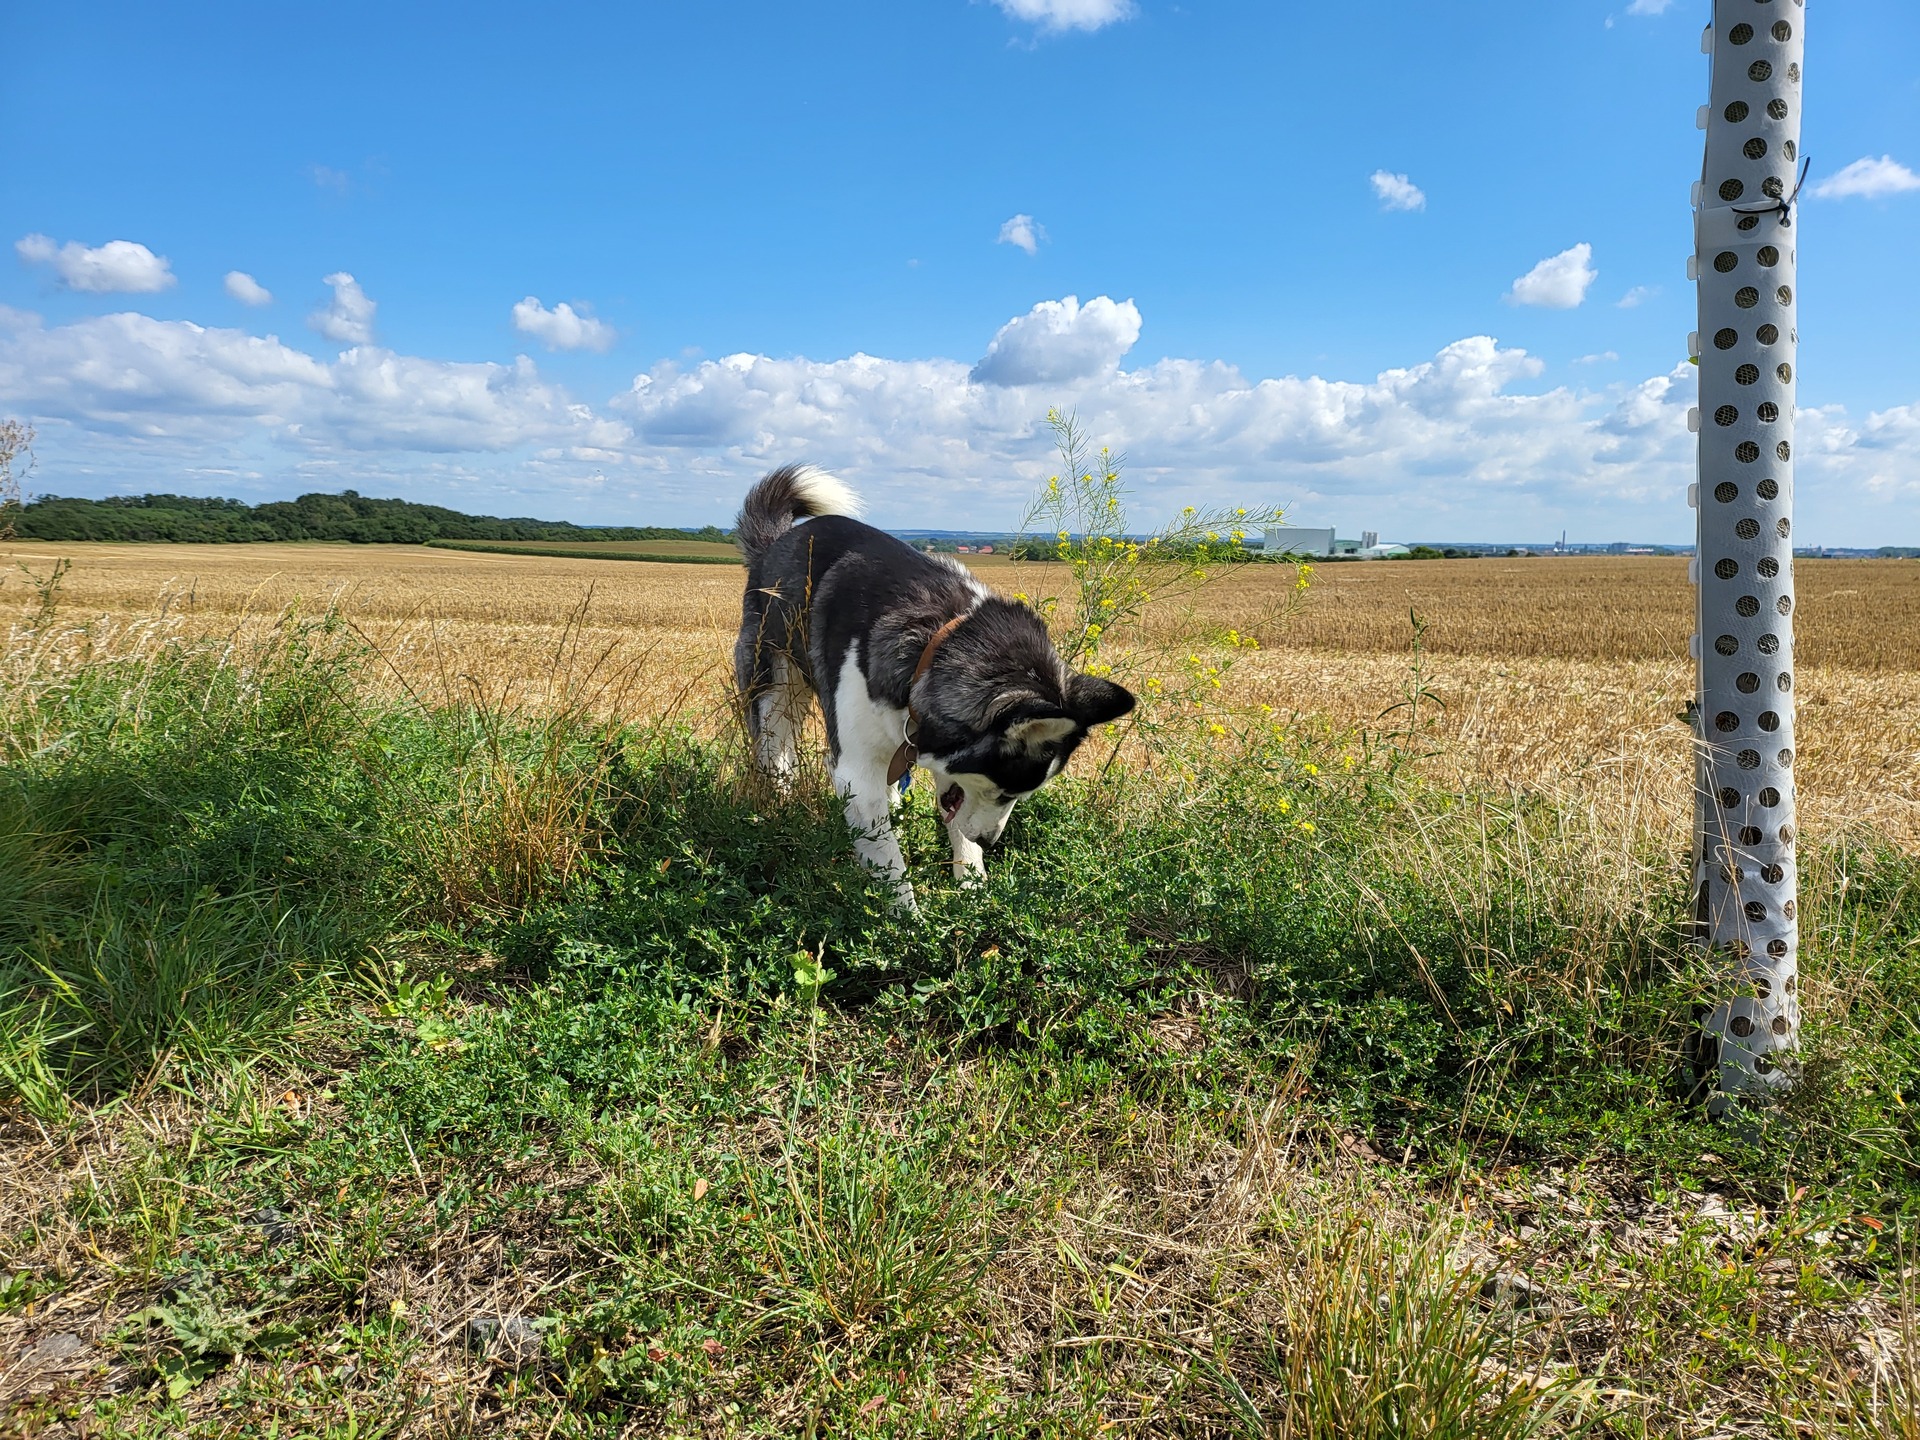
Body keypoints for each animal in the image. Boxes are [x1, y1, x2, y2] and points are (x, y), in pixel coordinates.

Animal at [729, 468, 1121, 906]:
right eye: (1005, 793)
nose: (989, 841)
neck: (936, 640)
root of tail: (773, 544)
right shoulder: (856, 773)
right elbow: (888, 862)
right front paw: (908, 920)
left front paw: (973, 891)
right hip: (775, 690)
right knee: (776, 749)